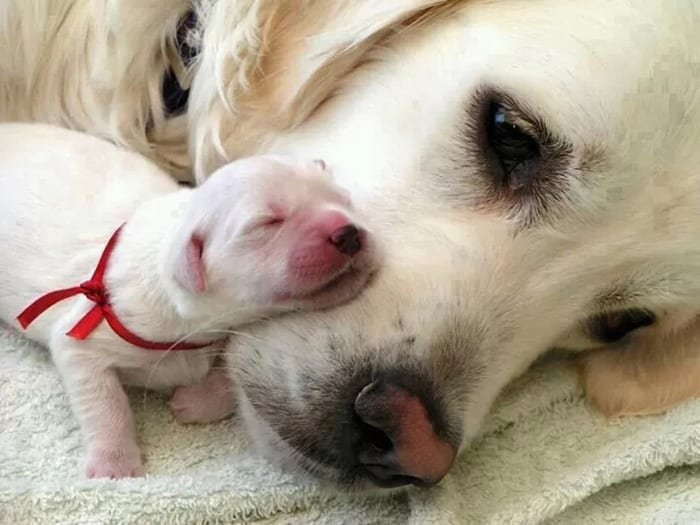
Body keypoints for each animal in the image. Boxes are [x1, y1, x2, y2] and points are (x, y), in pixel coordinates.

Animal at [0, 124, 378, 478]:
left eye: (343, 198)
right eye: (266, 222)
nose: (349, 233)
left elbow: (229, 373)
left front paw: (195, 401)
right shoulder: (86, 334)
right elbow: (105, 402)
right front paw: (114, 465)